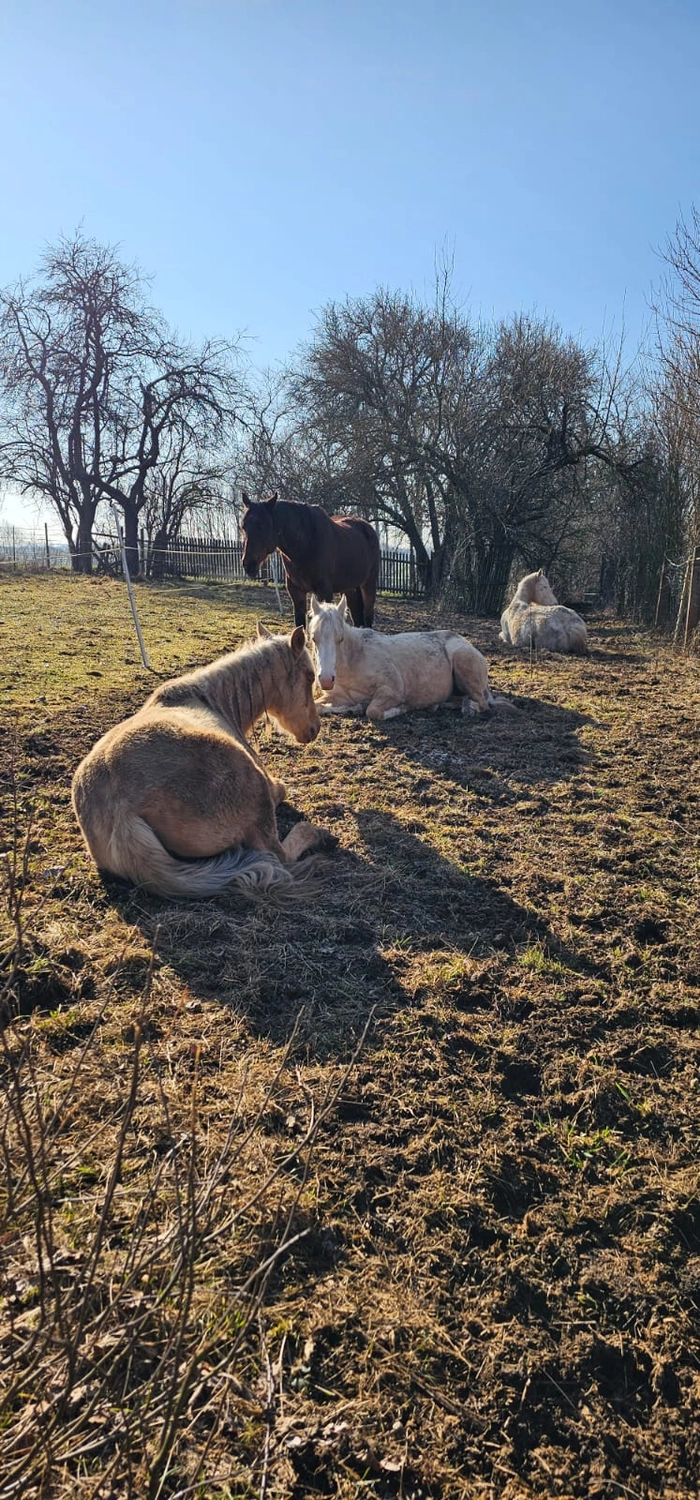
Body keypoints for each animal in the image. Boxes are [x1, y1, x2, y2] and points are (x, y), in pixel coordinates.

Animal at [71, 625, 333, 898]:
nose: (314, 728)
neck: (214, 701)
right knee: (279, 855)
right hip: (259, 800)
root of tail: (122, 813)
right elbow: (281, 789)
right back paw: (318, 834)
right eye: (309, 676)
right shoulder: (270, 786)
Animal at [240, 492, 381, 628]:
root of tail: (367, 527)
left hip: (368, 585)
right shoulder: (297, 593)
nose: (248, 564)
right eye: (243, 526)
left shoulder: (324, 592)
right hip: (349, 588)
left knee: (367, 617)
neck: (306, 546)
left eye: (262, 526)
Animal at [308, 596, 506, 720]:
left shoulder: (392, 690)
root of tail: (468, 644)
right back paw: (442, 705)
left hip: (463, 662)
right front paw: (353, 709)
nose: (325, 680)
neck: (355, 659)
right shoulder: (338, 696)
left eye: (340, 639)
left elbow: (373, 711)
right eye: (313, 638)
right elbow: (317, 707)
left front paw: (402, 708)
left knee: (482, 703)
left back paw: (468, 709)